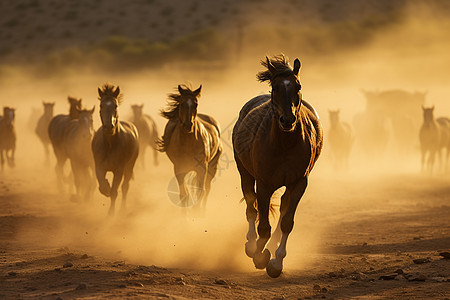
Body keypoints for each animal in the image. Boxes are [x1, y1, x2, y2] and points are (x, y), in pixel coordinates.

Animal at [91, 84, 139, 216]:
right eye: (101, 105)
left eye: (115, 105)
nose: (109, 127)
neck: (109, 145)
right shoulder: (99, 167)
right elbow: (102, 186)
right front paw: (106, 187)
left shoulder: (119, 170)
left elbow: (115, 191)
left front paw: (111, 214)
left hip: (129, 166)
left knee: (125, 187)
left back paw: (123, 210)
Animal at [232, 55, 324, 278]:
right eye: (275, 87)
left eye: (298, 86)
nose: (288, 120)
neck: (284, 144)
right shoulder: (264, 184)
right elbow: (263, 225)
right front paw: (259, 255)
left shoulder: (299, 183)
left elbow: (286, 222)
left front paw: (276, 262)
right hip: (245, 174)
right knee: (251, 206)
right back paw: (250, 245)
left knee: (281, 208)